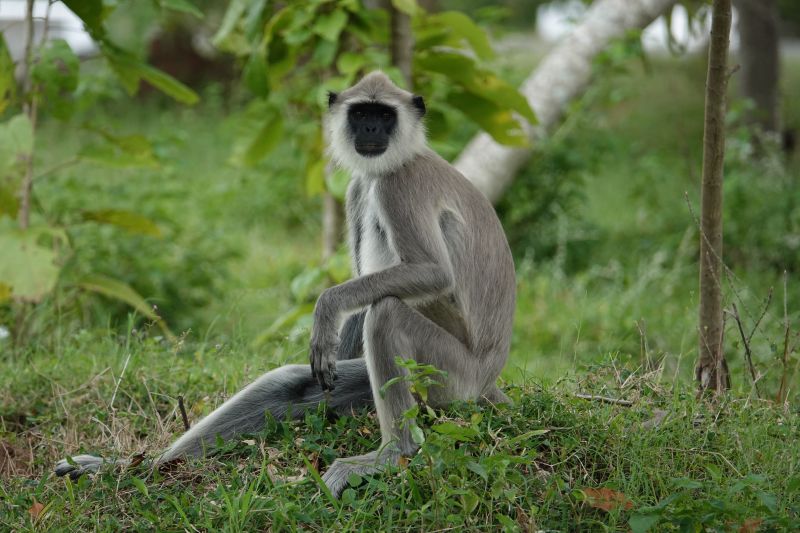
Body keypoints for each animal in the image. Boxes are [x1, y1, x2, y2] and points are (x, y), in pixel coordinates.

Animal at [57, 70, 520, 494]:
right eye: (361, 114)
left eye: (384, 116)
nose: (371, 130)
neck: (401, 159)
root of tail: (489, 380)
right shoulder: (358, 187)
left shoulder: (398, 185)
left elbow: (431, 273)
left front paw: (326, 309)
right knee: (292, 384)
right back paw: (135, 467)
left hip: (452, 375)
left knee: (386, 313)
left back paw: (394, 454)